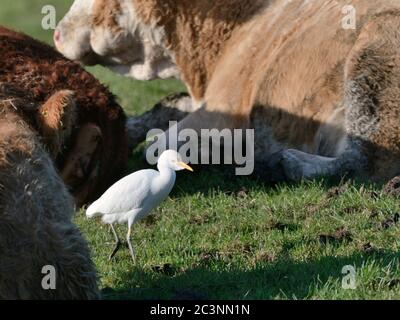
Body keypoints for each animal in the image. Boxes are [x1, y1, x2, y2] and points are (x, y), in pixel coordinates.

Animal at [54, 0, 400, 182]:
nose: (55, 32)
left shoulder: (225, 105)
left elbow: (161, 141)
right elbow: (166, 105)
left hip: (373, 59)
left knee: (365, 160)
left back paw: (280, 161)